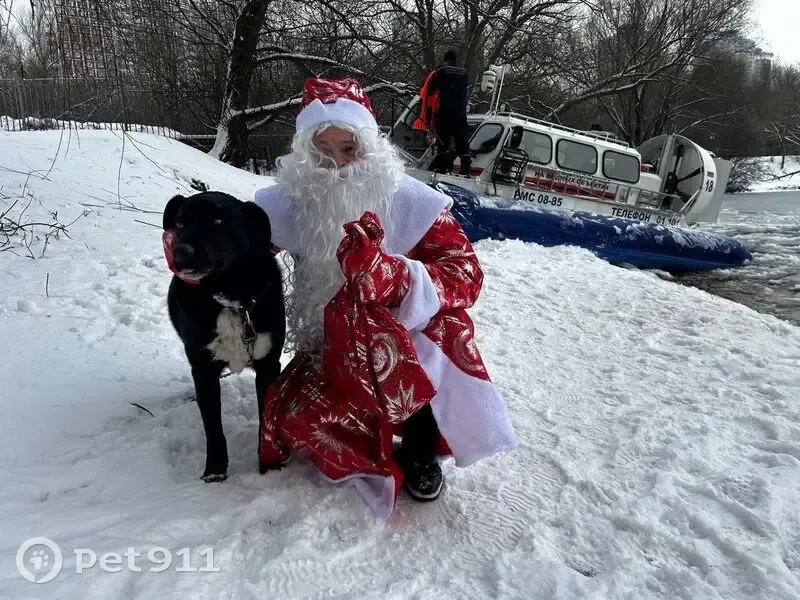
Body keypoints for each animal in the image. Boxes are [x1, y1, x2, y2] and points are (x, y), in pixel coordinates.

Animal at [162, 191, 286, 482]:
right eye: (180, 224)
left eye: (217, 220)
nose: (180, 253)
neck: (232, 300)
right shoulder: (203, 369)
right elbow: (213, 428)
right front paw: (215, 470)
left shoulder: (268, 364)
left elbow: (266, 419)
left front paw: (269, 466)